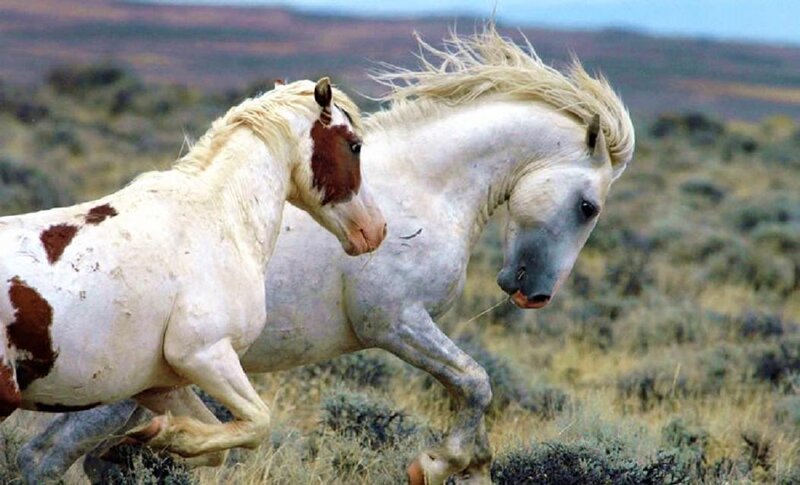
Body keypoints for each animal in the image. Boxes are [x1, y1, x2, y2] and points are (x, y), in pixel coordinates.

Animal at [0, 78, 387, 461]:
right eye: (355, 146)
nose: (376, 229)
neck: (220, 217)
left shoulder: (159, 385)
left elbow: (215, 450)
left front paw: (149, 437)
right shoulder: (203, 354)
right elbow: (258, 423)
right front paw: (162, 435)